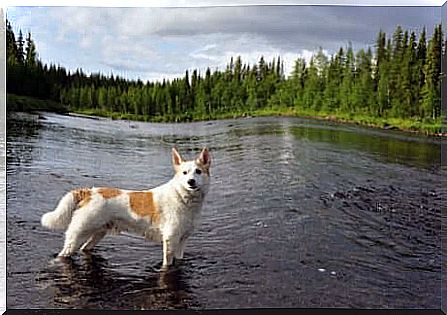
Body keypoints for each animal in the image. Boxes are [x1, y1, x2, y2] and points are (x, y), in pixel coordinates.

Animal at [40, 148, 212, 270]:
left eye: (198, 171)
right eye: (184, 173)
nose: (191, 181)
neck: (183, 198)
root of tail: (89, 192)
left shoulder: (182, 241)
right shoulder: (170, 240)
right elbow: (167, 265)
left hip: (97, 233)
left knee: (85, 249)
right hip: (77, 235)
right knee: (63, 254)